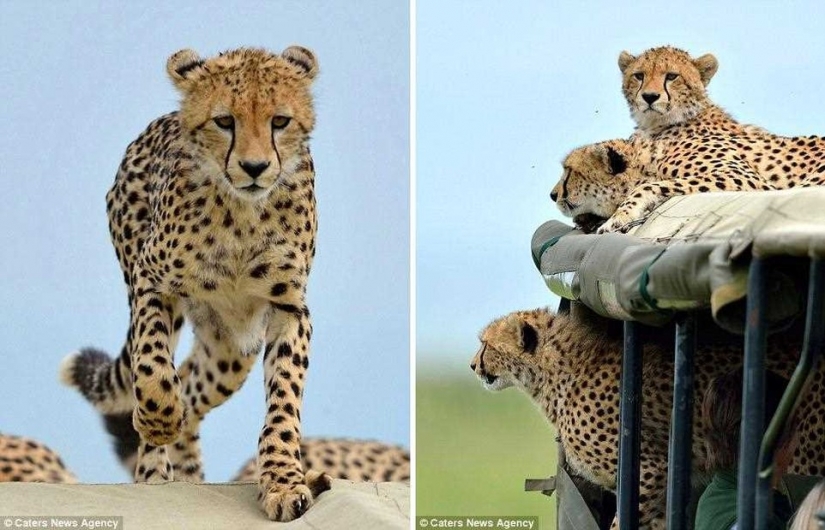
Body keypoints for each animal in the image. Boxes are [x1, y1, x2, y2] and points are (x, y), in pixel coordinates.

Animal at [59, 46, 329, 521]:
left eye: (280, 121)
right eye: (224, 121)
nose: (255, 167)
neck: (242, 212)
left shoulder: (289, 307)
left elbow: (284, 400)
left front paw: (282, 482)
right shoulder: (151, 278)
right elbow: (151, 365)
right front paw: (157, 418)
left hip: (231, 350)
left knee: (191, 380)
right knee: (168, 374)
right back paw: (156, 470)